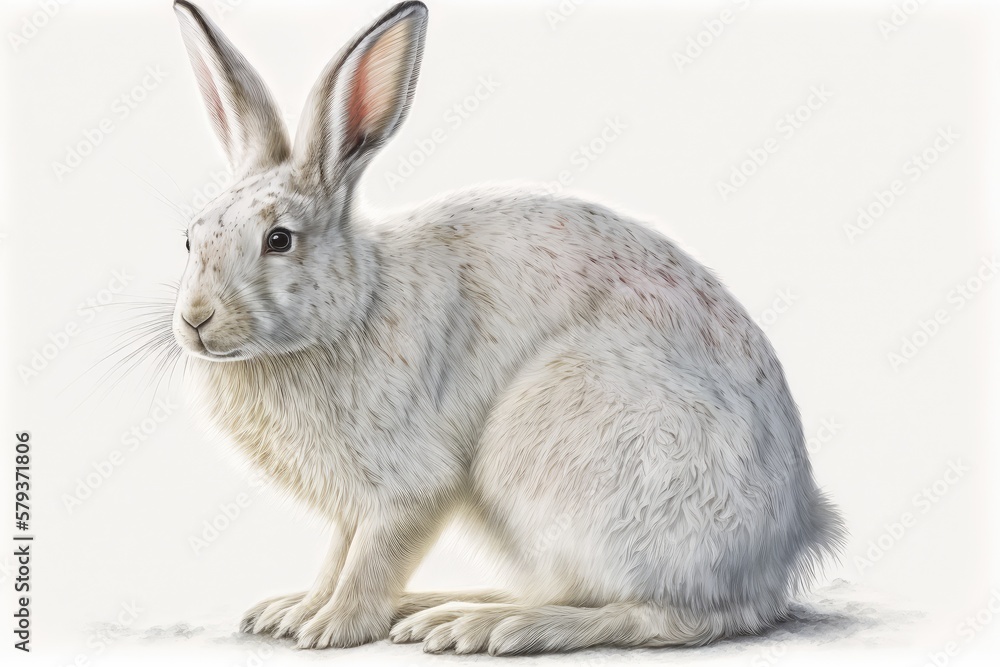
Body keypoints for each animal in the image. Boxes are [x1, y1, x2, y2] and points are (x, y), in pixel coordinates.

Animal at [170, 0, 845, 655]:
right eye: (190, 238)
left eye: (279, 240)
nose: (195, 320)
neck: (355, 305)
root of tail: (785, 550)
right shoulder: (352, 504)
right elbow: (338, 554)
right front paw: (295, 611)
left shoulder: (408, 488)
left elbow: (371, 559)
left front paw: (332, 627)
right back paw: (441, 609)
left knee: (658, 617)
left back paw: (492, 626)